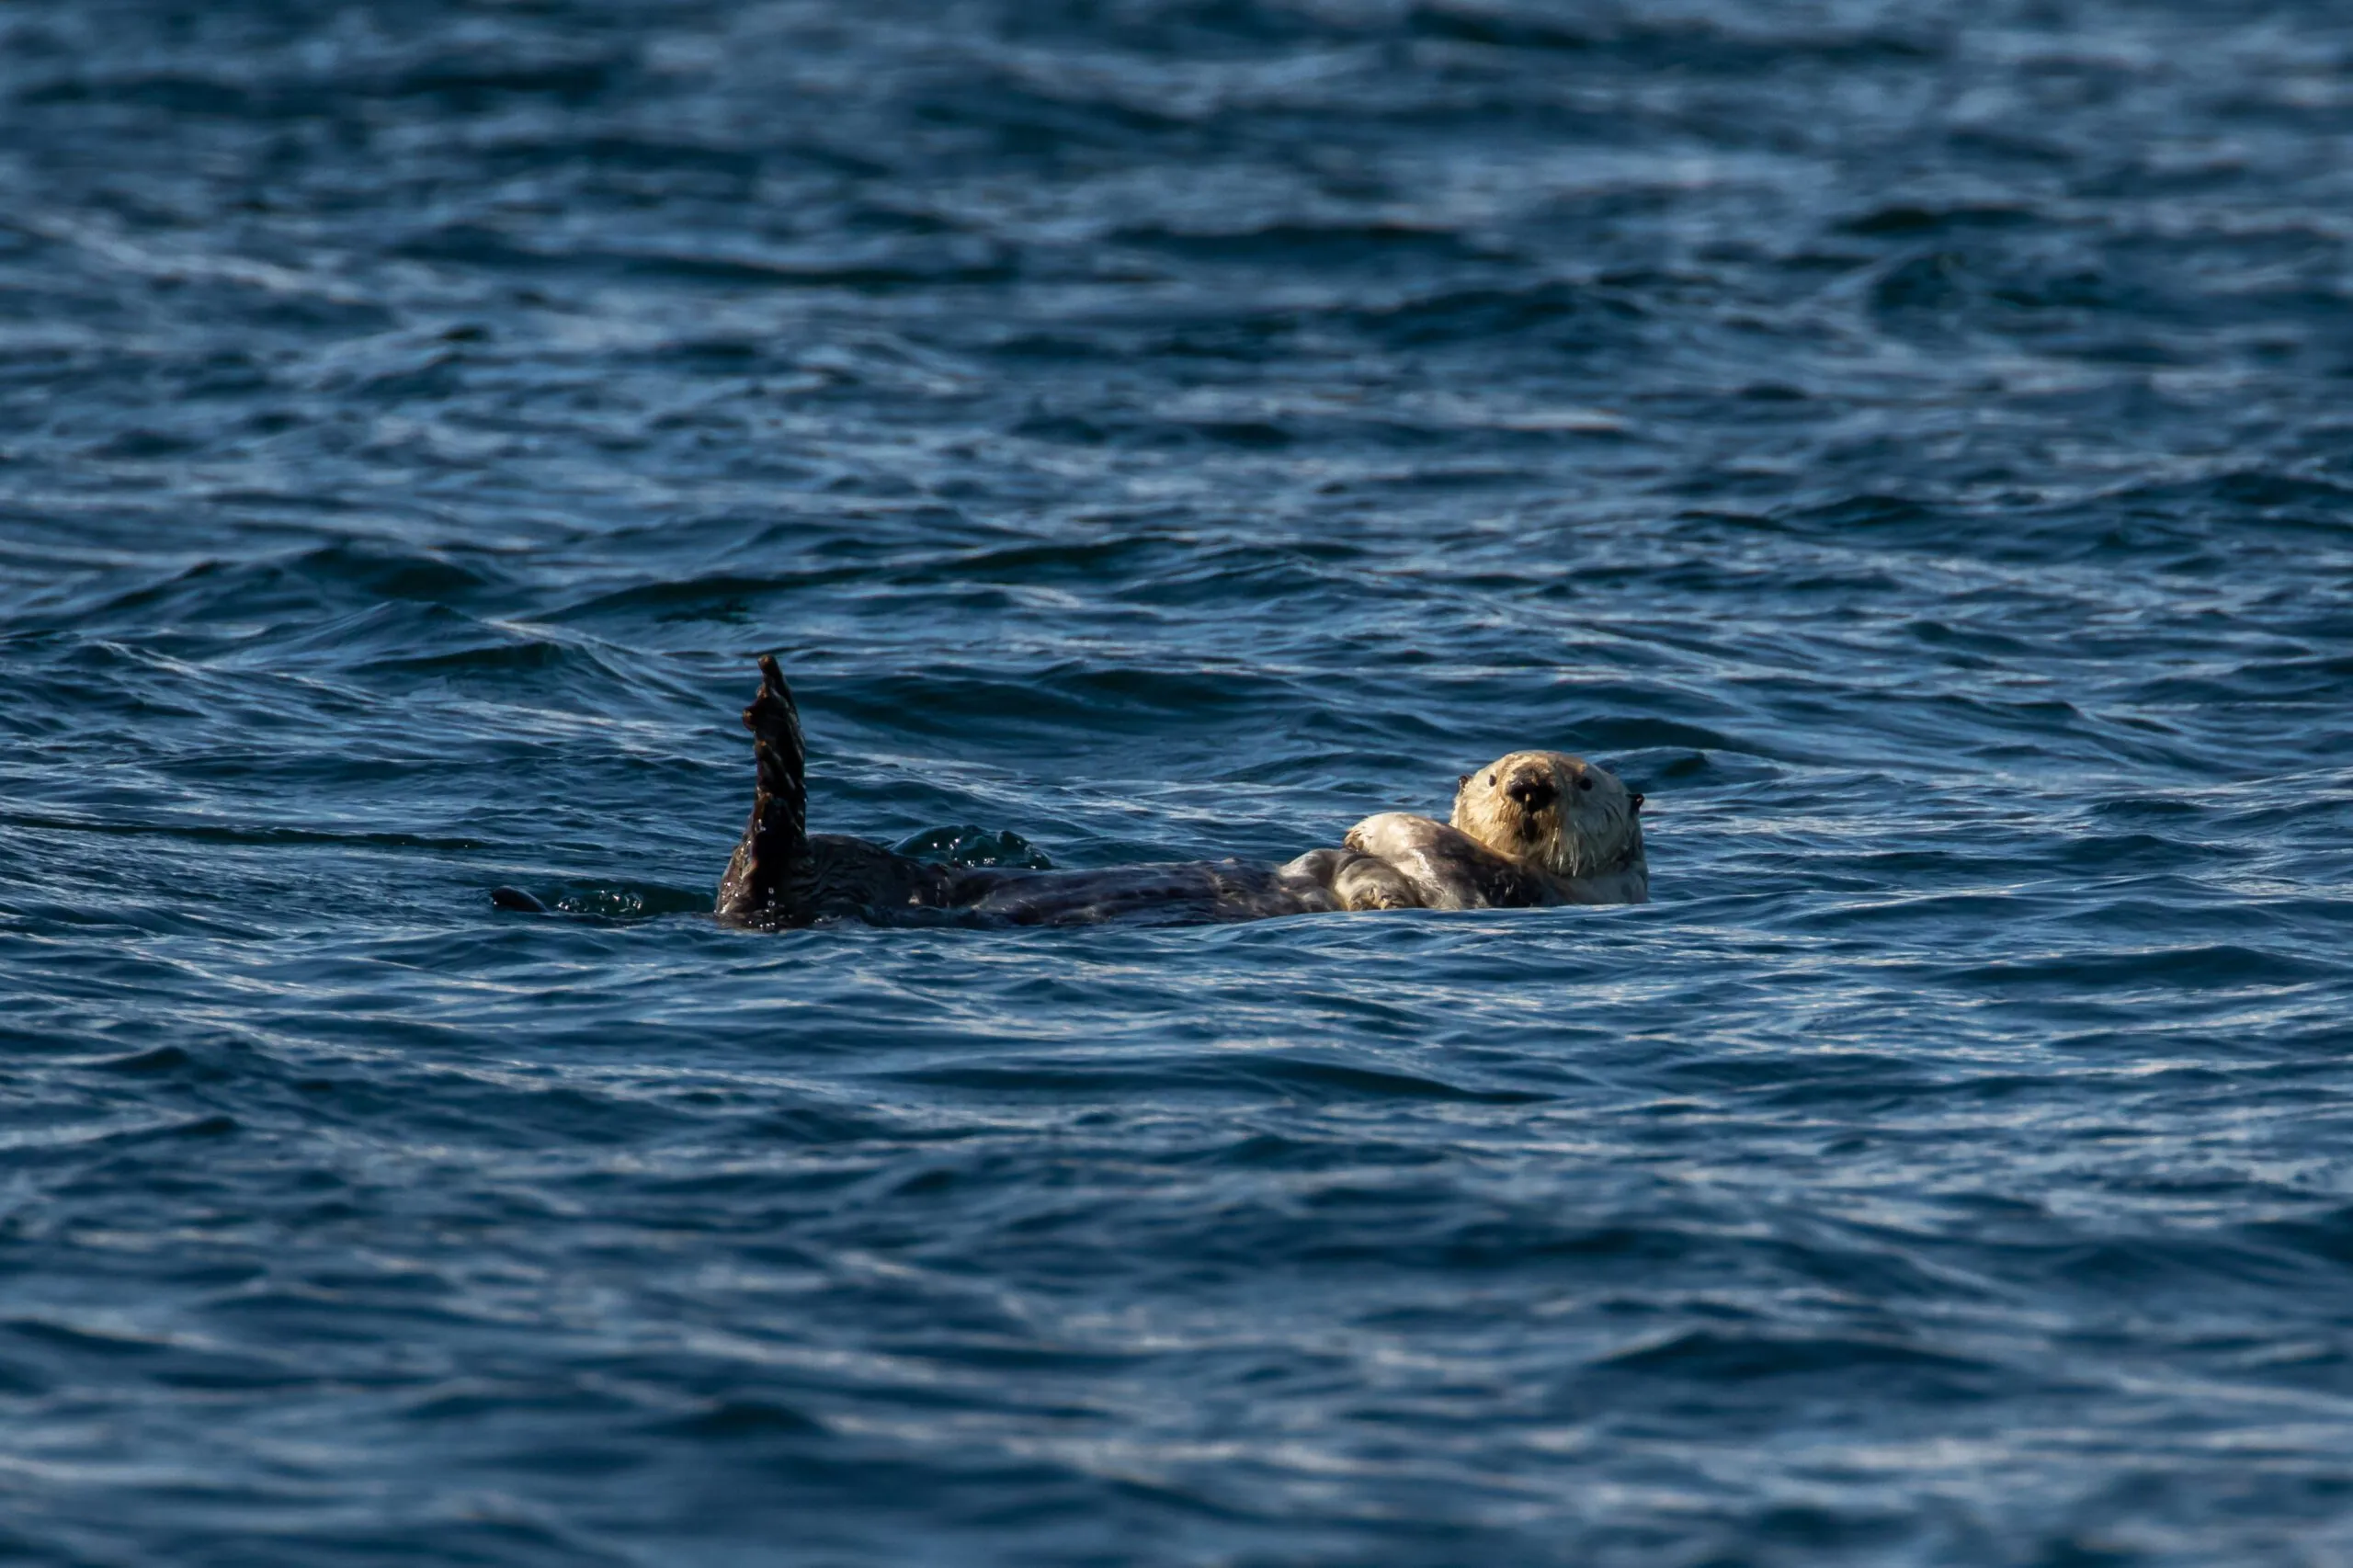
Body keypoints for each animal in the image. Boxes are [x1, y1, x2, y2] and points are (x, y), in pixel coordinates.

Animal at [703, 656, 1645, 927]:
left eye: (1581, 777)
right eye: (1490, 774)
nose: (1528, 786)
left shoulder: (1496, 886)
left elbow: (1419, 851)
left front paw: (1367, 834)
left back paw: (776, 726)